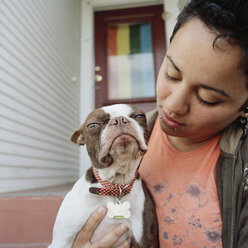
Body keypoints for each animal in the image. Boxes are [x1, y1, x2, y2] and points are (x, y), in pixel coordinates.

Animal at [48, 103, 158, 247]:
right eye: (92, 125)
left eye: (139, 116)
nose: (119, 119)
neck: (116, 185)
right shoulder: (61, 241)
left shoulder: (145, 241)